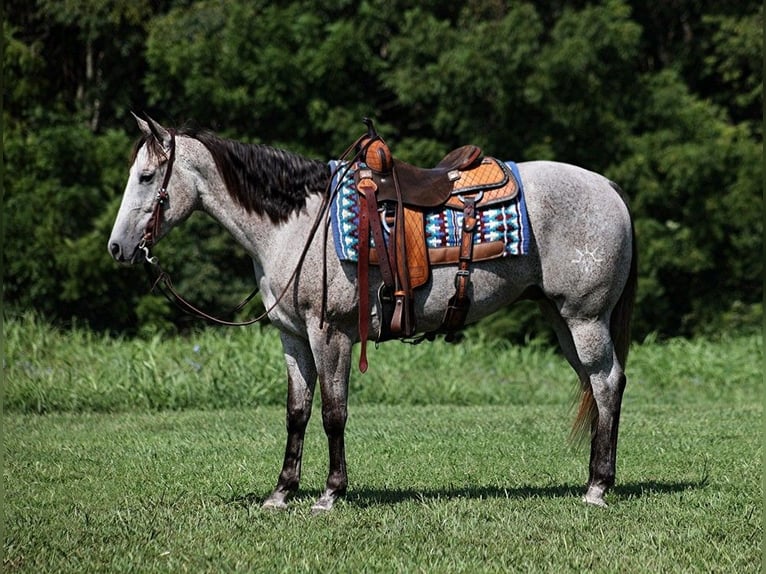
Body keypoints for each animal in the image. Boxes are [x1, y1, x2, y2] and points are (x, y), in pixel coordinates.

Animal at [108, 116, 636, 512]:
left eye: (147, 177)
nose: (117, 248)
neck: (298, 224)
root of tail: (609, 187)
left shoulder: (330, 332)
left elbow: (333, 412)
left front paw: (330, 493)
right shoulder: (292, 337)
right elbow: (297, 412)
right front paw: (281, 492)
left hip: (585, 319)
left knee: (607, 383)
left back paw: (597, 487)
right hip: (562, 319)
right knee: (596, 386)